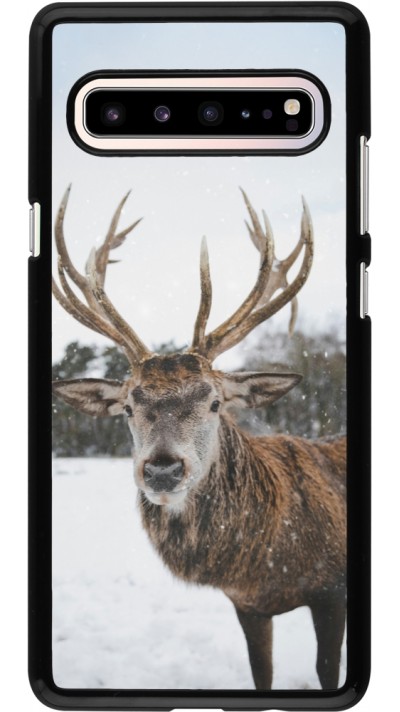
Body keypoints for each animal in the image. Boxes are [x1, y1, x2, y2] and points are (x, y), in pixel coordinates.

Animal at [52, 187, 346, 691]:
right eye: (128, 407)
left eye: (214, 402)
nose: (162, 469)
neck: (267, 564)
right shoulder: (248, 605)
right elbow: (261, 673)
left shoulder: (332, 589)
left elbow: (328, 670)